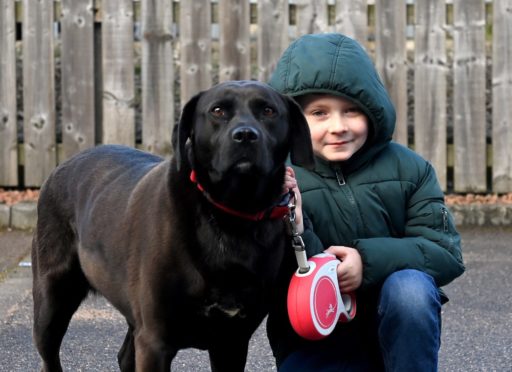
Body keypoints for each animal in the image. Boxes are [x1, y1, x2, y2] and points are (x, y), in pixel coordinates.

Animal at [32, 80, 314, 370]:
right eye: (218, 110)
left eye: (268, 111)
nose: (245, 135)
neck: (231, 214)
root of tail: (63, 164)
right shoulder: (155, 341)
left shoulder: (232, 342)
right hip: (51, 300)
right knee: (49, 355)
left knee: (124, 355)